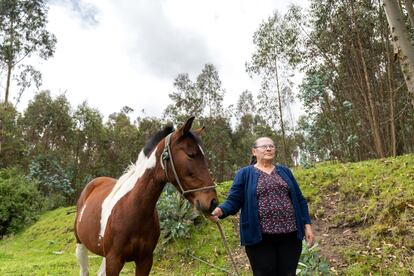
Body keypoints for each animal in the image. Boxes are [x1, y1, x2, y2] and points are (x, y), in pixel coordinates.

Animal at [74, 117, 218, 276]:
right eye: (190, 154)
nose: (212, 202)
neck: (132, 208)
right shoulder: (114, 261)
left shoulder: (145, 260)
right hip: (81, 246)